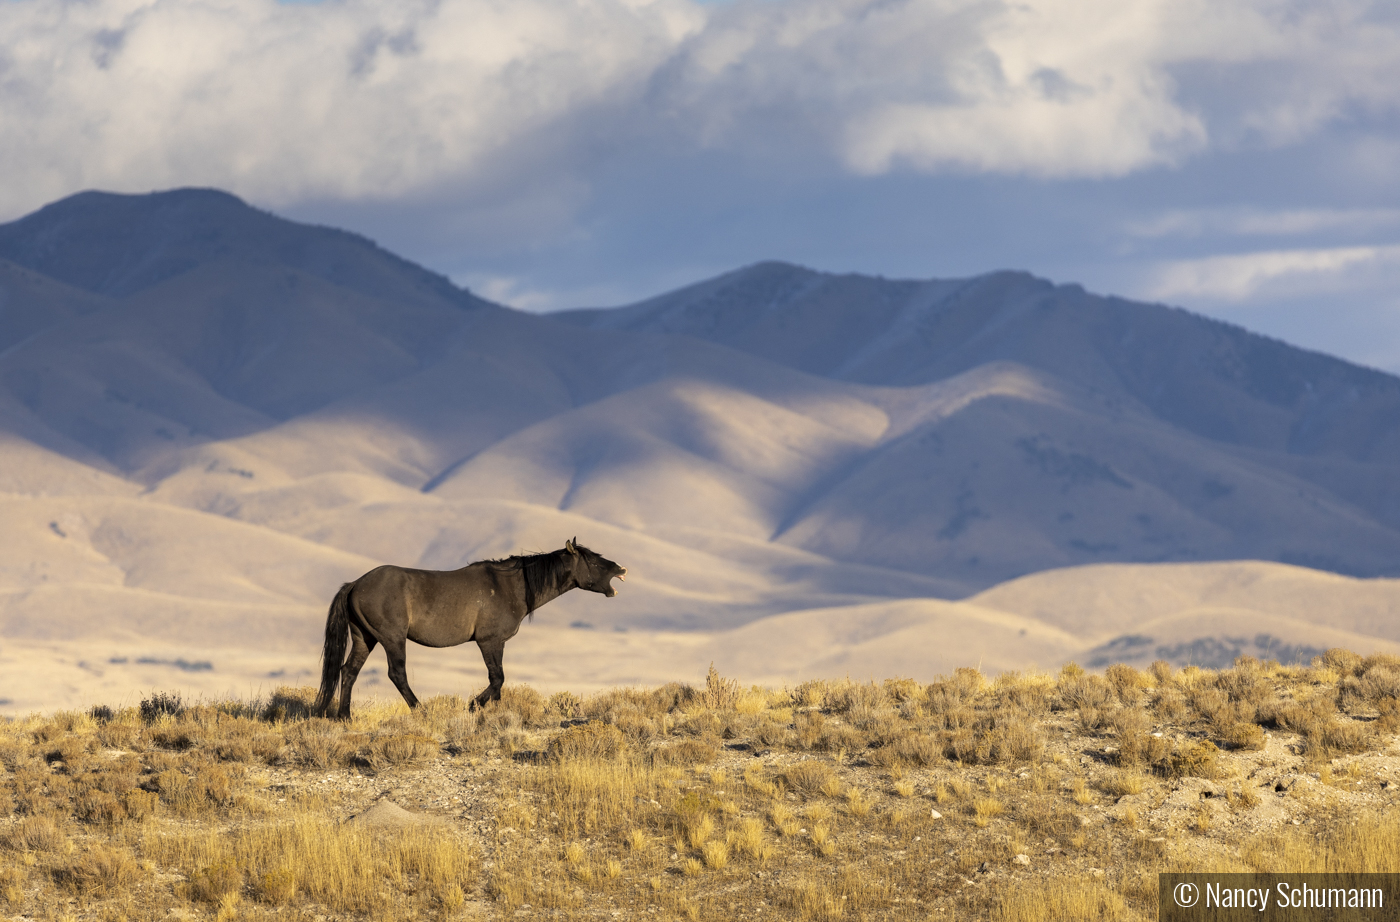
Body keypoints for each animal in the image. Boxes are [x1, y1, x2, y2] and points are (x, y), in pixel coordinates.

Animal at [317, 540, 630, 721]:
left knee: (349, 671)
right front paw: (473, 706)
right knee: (397, 674)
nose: (621, 568)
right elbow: (497, 679)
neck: (510, 586)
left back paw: (345, 717)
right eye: (593, 560)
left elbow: (499, 684)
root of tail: (355, 584)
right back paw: (422, 711)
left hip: (365, 638)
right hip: (392, 639)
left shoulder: (496, 643)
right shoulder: (489, 641)